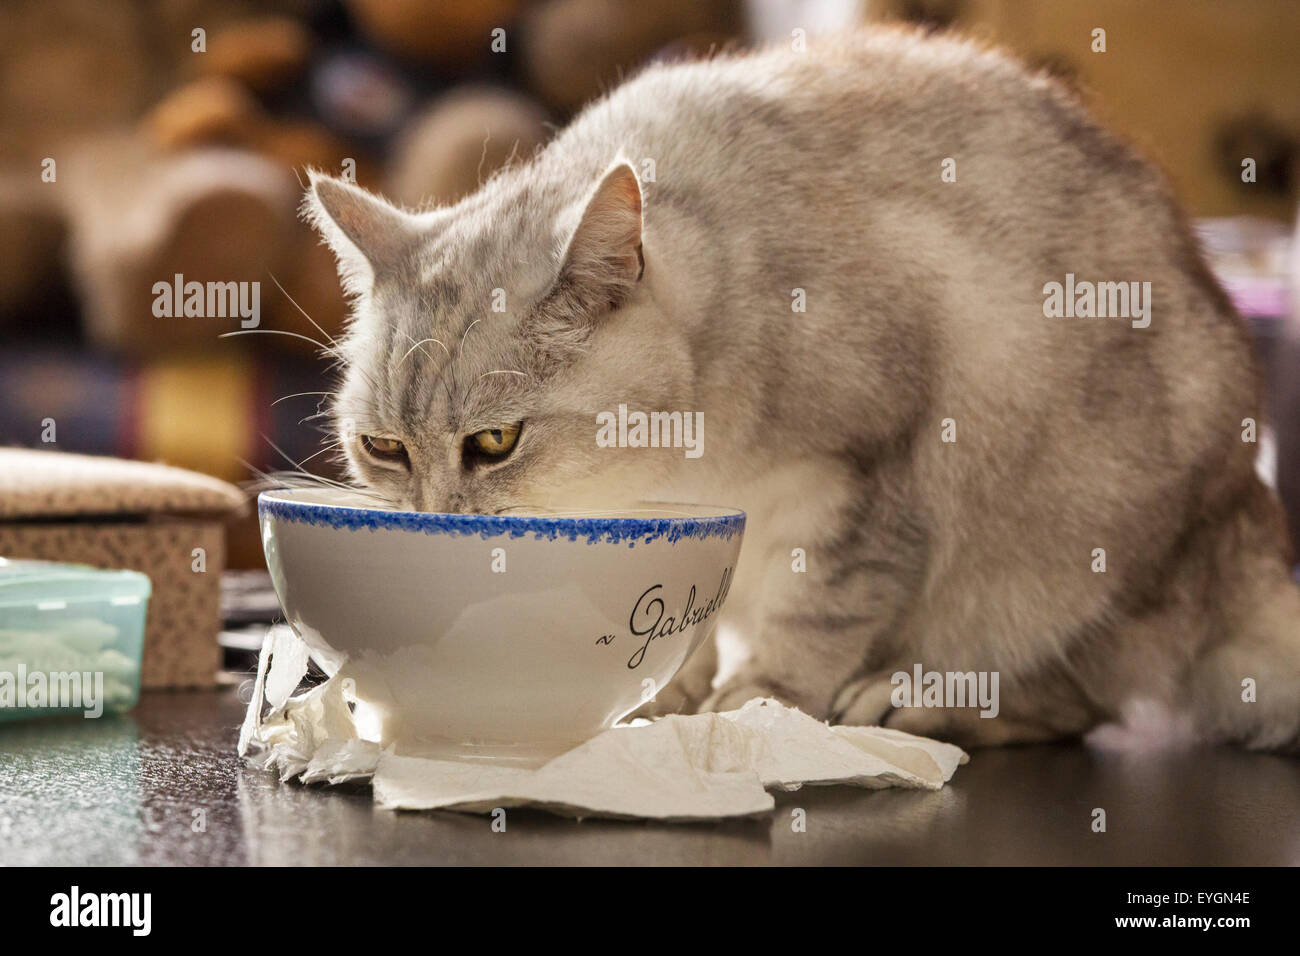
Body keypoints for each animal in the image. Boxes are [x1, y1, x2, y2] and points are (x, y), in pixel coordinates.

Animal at [306, 31, 1300, 754]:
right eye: (383, 449)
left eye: (494, 444)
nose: (432, 521)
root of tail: (1248, 522)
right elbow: (696, 622)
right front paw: (673, 690)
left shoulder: (867, 472)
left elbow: (817, 609)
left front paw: (761, 702)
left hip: (1068, 557)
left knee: (1075, 698)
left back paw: (914, 699)